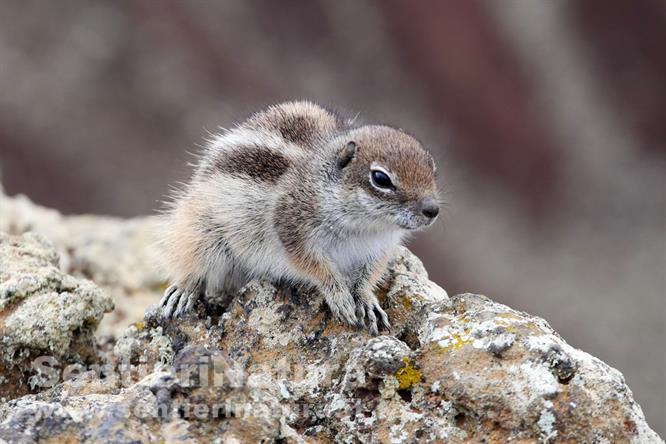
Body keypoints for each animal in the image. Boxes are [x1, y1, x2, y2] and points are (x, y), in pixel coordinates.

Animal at [158, 100, 438, 332]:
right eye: (380, 178)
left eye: (432, 166)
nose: (432, 210)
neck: (363, 228)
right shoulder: (292, 229)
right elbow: (315, 268)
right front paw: (339, 296)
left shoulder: (379, 248)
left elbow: (369, 275)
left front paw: (366, 300)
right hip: (201, 229)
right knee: (193, 263)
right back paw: (183, 290)